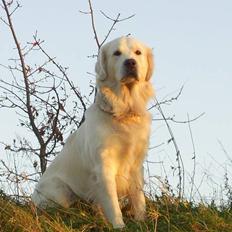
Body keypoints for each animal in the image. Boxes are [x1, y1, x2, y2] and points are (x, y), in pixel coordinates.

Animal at [30, 36, 154, 228]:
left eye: (138, 52)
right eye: (116, 53)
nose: (131, 62)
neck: (123, 114)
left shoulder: (136, 164)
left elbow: (139, 198)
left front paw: (141, 222)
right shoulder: (104, 166)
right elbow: (112, 203)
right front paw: (119, 226)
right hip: (59, 190)